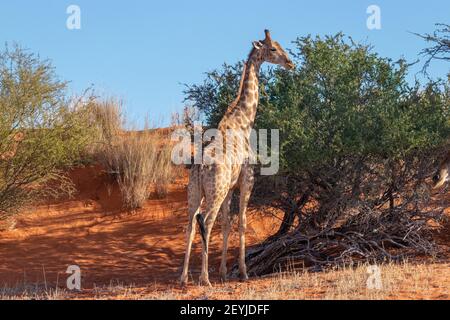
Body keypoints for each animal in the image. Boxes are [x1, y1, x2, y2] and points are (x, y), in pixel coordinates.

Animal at [181, 30, 294, 286]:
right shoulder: (247, 179)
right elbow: (241, 222)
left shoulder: (231, 187)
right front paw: (243, 272)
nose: (290, 63)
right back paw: (204, 278)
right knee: (206, 221)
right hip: (216, 190)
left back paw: (183, 278)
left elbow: (227, 224)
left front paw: (224, 272)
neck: (244, 121)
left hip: (196, 192)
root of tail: (200, 167)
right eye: (273, 49)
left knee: (190, 224)